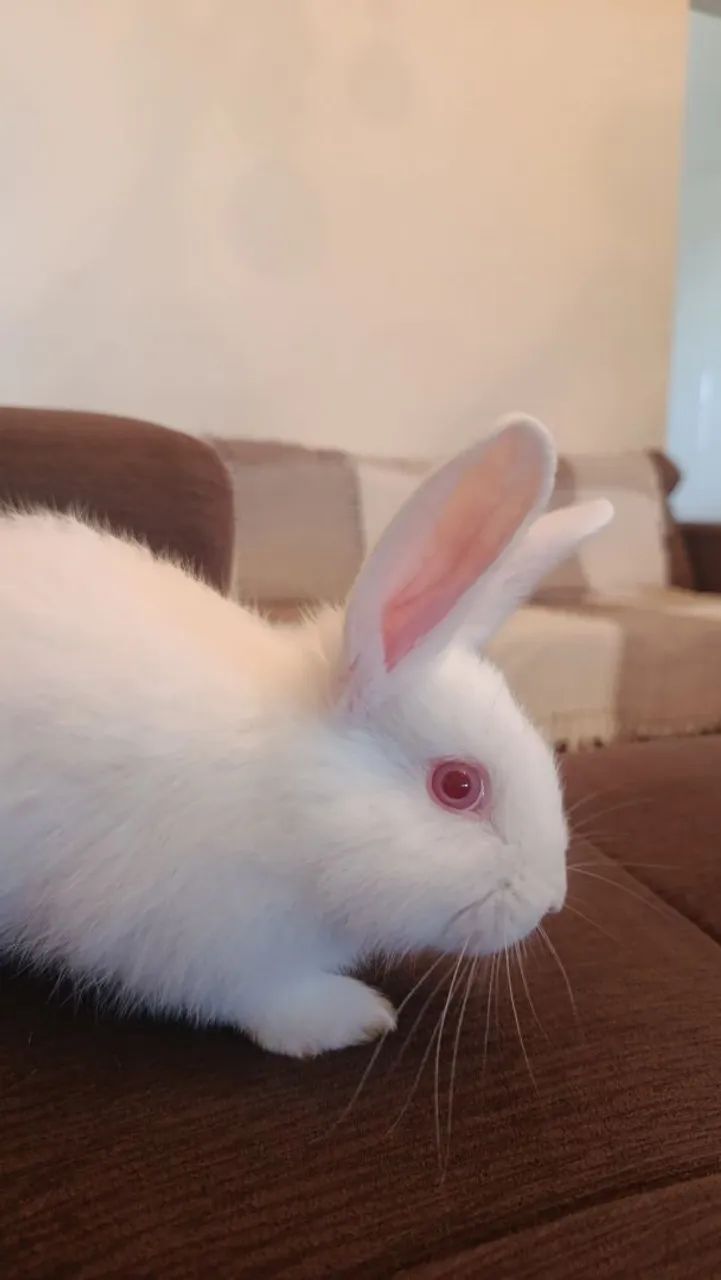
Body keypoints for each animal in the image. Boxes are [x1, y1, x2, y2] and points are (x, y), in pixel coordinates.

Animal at [0, 415, 612, 1058]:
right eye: (458, 785)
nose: (550, 900)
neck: (292, 802)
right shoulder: (207, 944)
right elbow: (267, 1000)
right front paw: (354, 1016)